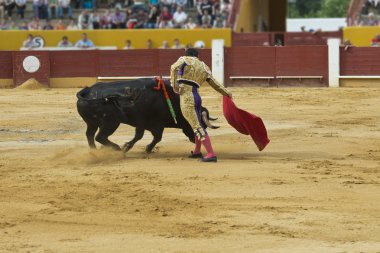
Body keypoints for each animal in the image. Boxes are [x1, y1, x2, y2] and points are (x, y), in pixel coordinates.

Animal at [76, 77, 218, 152]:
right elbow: (144, 136)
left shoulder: (153, 124)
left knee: (90, 135)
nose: (196, 139)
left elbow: (154, 137)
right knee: (100, 136)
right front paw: (128, 147)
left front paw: (147, 149)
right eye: (202, 124)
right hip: (110, 122)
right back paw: (117, 149)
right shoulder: (145, 123)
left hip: (93, 123)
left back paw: (94, 151)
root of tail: (87, 90)